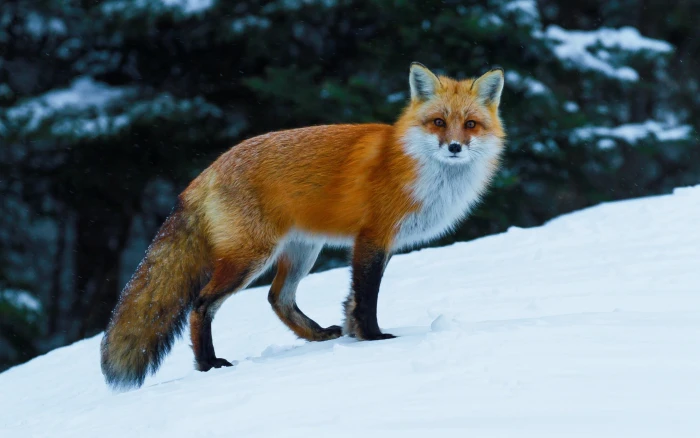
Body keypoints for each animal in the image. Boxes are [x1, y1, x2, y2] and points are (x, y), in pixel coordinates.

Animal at [100, 63, 506, 389]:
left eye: (470, 125)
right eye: (438, 122)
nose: (454, 147)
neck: (417, 169)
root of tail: (206, 172)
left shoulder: (383, 243)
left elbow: (352, 300)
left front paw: (354, 336)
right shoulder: (372, 238)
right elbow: (366, 298)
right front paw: (374, 340)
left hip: (302, 251)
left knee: (277, 298)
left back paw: (318, 336)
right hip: (251, 257)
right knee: (201, 305)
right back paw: (208, 364)